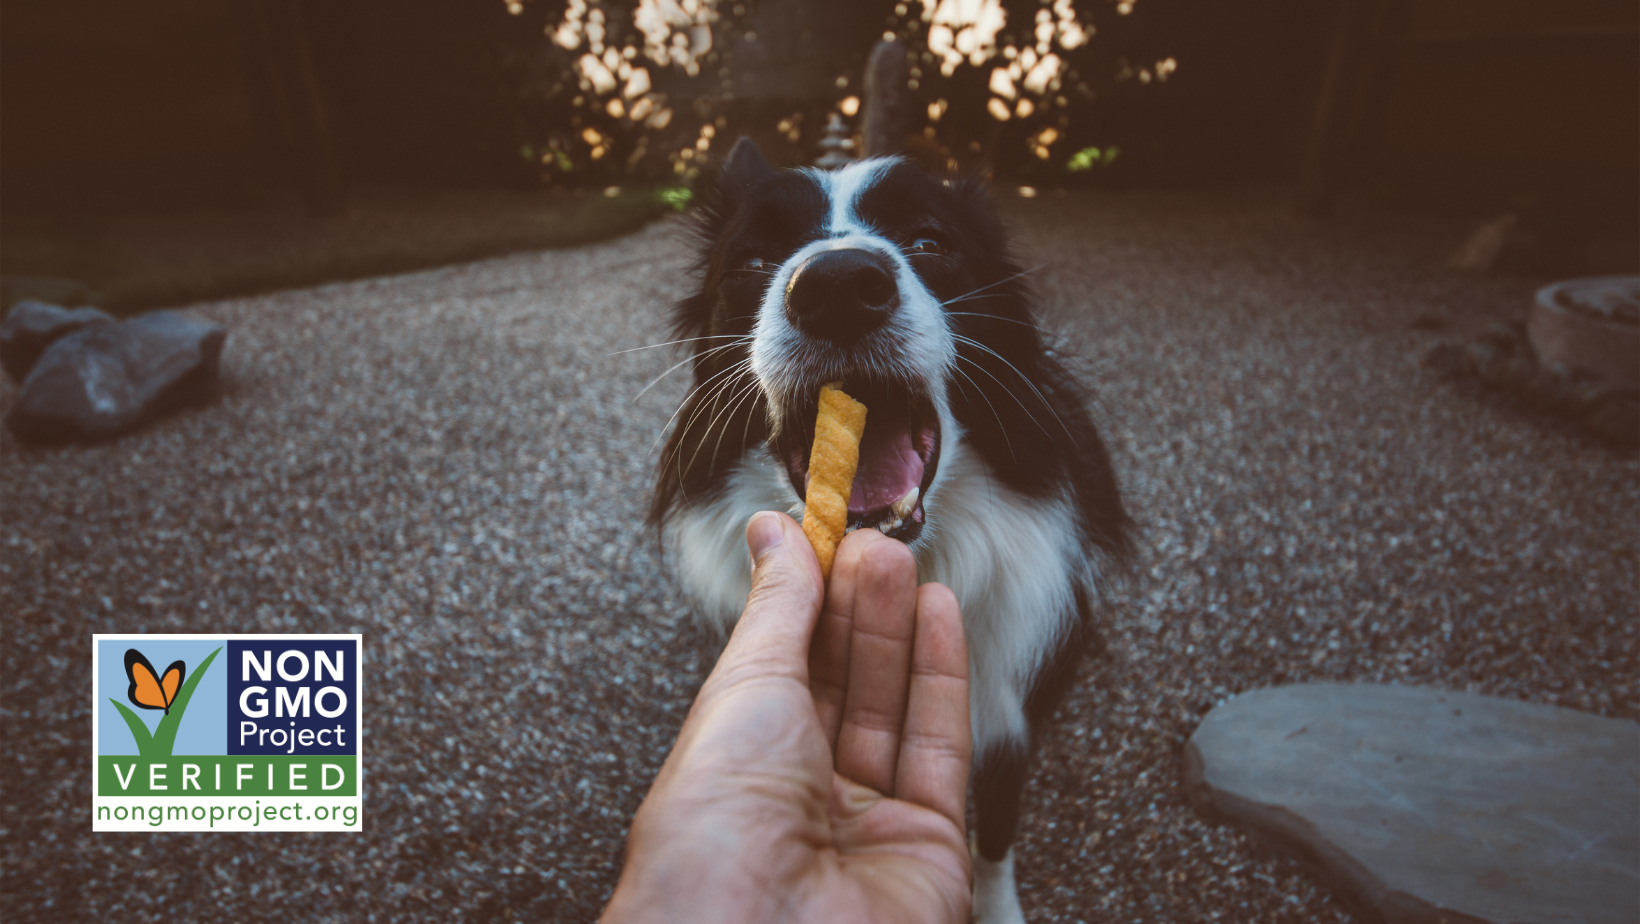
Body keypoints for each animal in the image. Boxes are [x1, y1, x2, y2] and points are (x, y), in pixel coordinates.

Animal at [649, 139, 1128, 924]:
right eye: (752, 260)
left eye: (931, 242)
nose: (838, 285)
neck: (923, 566)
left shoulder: (1008, 717)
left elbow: (997, 833)